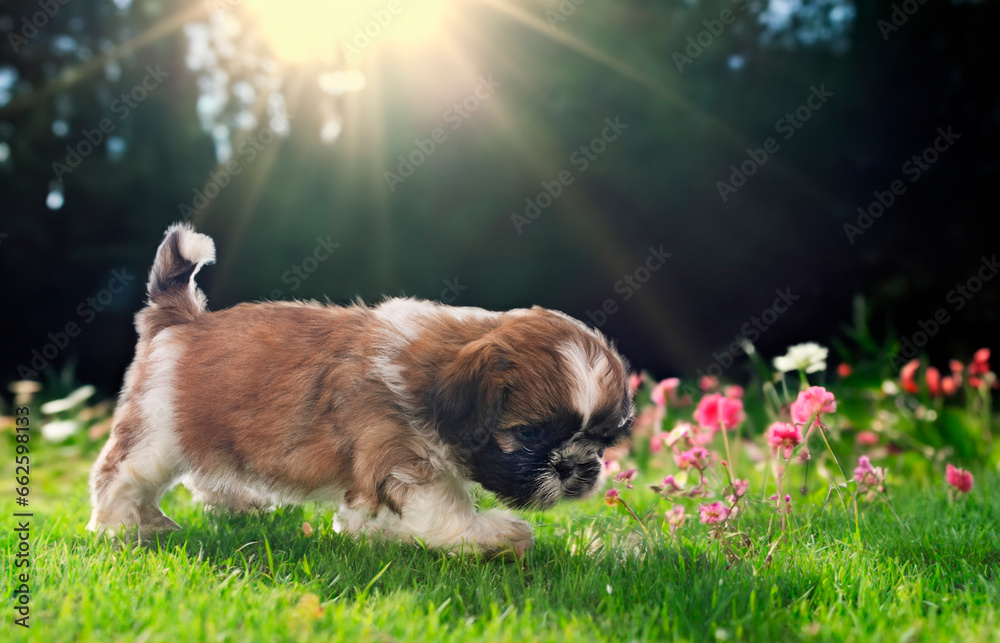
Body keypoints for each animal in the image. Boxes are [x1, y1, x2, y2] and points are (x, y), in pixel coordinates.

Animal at [88, 224, 632, 556]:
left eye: (602, 441)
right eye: (529, 434)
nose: (574, 468)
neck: (429, 372)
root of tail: (180, 319)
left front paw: (372, 535)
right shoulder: (397, 455)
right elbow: (443, 505)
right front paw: (493, 534)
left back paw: (235, 503)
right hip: (157, 431)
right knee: (119, 473)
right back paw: (123, 527)